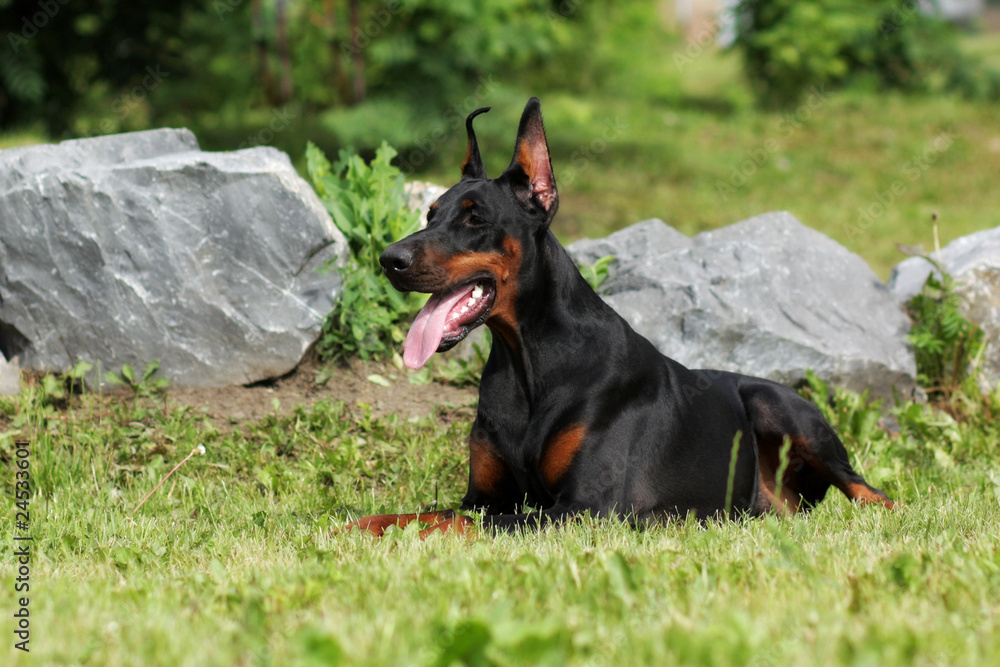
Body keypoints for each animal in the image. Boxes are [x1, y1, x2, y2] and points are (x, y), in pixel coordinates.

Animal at [346, 98, 900, 536]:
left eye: (474, 218)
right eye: (429, 214)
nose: (389, 259)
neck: (529, 361)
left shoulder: (584, 508)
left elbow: (457, 523)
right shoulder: (484, 497)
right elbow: (422, 513)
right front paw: (350, 528)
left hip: (778, 405)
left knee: (872, 492)